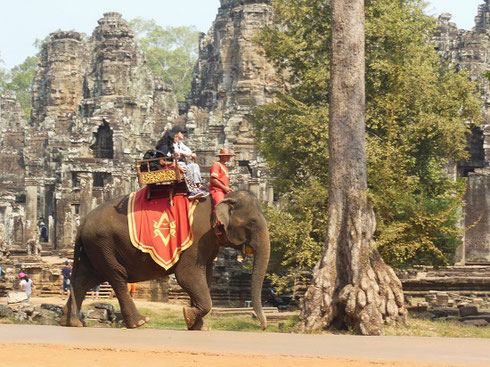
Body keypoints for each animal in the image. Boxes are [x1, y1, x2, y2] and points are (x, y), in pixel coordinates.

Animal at [60, 191, 272, 332]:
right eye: (252, 223)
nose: (262, 327)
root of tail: (83, 221)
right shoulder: (197, 238)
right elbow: (187, 276)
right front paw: (189, 316)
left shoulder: (208, 244)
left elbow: (205, 277)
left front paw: (198, 326)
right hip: (103, 244)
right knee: (117, 276)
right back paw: (139, 322)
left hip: (94, 248)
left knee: (84, 280)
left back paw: (72, 323)